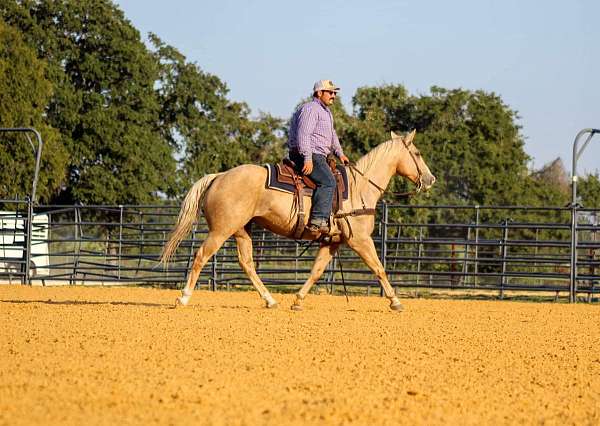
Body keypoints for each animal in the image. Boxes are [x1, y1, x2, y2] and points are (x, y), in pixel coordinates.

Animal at [161, 129, 436, 310]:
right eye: (418, 152)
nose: (430, 179)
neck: (360, 188)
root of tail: (219, 176)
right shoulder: (360, 240)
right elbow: (379, 268)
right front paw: (396, 301)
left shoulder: (332, 242)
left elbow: (316, 271)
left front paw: (297, 300)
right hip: (221, 230)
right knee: (201, 256)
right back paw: (183, 297)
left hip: (241, 231)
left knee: (247, 263)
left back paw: (270, 300)